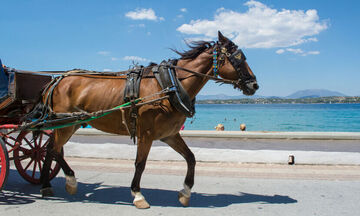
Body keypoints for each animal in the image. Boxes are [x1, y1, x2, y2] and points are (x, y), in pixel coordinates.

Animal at [40, 31, 258, 208]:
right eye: (238, 58)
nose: (254, 84)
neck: (169, 85)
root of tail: (58, 79)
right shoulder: (146, 134)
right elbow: (140, 164)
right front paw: (137, 194)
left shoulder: (169, 134)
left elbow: (191, 158)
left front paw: (185, 192)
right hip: (64, 125)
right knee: (54, 150)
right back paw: (70, 180)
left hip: (69, 124)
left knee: (48, 149)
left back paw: (45, 184)